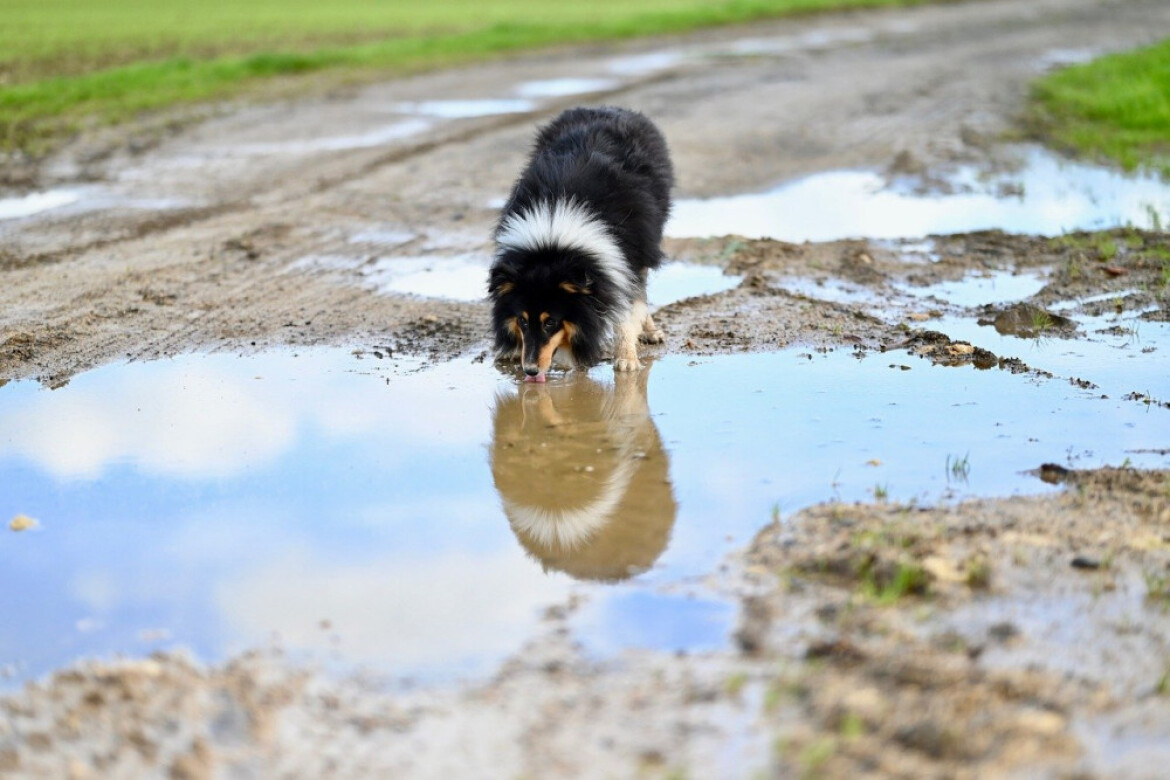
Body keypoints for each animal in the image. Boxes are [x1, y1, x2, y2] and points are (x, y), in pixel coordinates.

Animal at [486, 105, 673, 381]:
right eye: (522, 321)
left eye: (550, 322)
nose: (530, 371)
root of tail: (609, 108)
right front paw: (511, 350)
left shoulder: (626, 255)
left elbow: (627, 308)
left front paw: (626, 360)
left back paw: (650, 333)